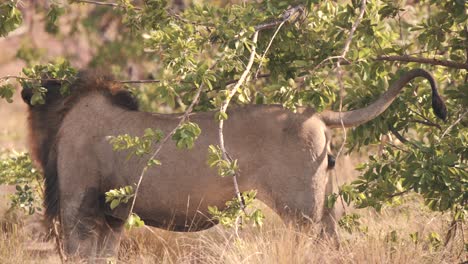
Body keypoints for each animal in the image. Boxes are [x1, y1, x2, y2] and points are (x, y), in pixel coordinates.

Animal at [22, 68, 446, 260]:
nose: (25, 89)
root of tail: (315, 114)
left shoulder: (79, 203)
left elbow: (79, 252)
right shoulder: (112, 214)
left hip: (300, 209)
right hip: (322, 204)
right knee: (335, 241)